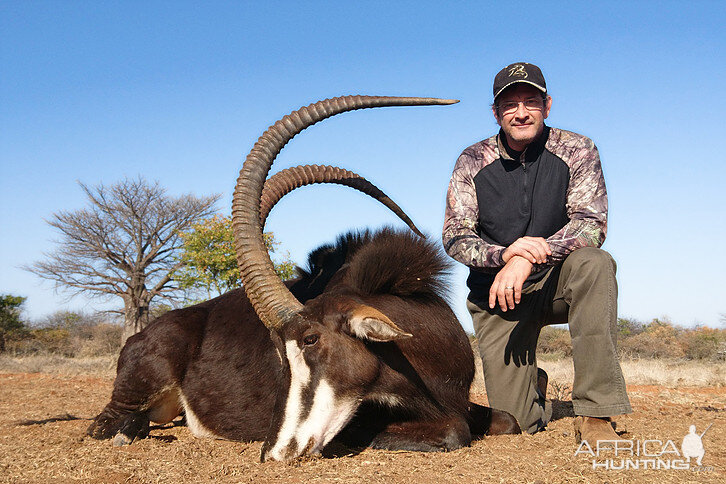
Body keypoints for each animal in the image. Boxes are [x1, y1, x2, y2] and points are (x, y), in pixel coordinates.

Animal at [86, 94, 516, 462]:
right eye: (278, 354)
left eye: (310, 339)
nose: (274, 452)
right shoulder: (361, 423)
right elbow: (454, 431)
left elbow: (507, 420)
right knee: (101, 424)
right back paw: (125, 429)